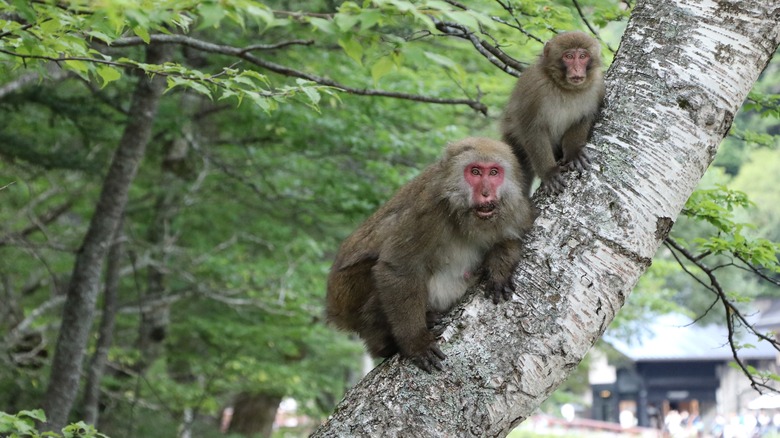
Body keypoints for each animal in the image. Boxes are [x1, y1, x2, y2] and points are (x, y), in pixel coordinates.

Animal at [324, 136, 536, 370]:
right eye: (475, 172)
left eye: (494, 173)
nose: (486, 193)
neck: (464, 215)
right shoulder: (428, 212)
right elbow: (399, 269)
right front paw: (416, 341)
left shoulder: (517, 209)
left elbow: (510, 239)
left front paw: (499, 272)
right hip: (348, 294)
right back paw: (388, 340)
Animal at [502, 30, 608, 195]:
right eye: (569, 56)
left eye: (582, 56)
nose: (576, 69)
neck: (565, 88)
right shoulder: (533, 87)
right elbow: (532, 128)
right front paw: (549, 172)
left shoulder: (597, 87)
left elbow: (584, 118)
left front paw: (573, 151)